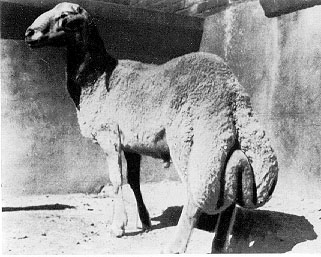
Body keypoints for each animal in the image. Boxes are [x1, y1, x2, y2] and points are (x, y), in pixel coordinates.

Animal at [25, 3, 276, 253]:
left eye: (65, 15)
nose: (29, 33)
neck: (95, 77)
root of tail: (232, 94)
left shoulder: (110, 137)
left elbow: (117, 181)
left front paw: (118, 226)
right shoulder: (130, 144)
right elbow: (134, 181)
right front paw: (144, 221)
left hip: (192, 142)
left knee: (197, 193)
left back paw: (176, 246)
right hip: (227, 142)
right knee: (231, 194)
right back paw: (219, 245)